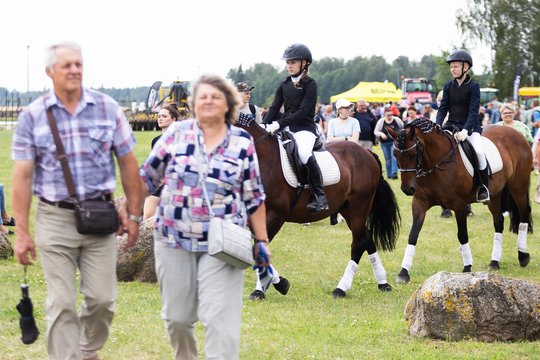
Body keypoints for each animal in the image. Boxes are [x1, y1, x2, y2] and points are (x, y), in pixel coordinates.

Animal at [236, 117, 400, 298]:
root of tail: (366, 152)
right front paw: (267, 287)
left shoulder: (275, 215)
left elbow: (259, 250)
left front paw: (277, 286)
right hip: (347, 209)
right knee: (367, 238)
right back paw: (383, 283)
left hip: (359, 207)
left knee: (359, 242)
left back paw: (341, 288)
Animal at [388, 118, 532, 284]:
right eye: (395, 154)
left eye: (412, 154)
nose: (407, 189)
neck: (436, 164)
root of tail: (517, 133)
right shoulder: (419, 203)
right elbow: (413, 235)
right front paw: (403, 272)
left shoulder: (460, 205)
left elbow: (462, 234)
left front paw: (467, 267)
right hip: (495, 196)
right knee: (498, 221)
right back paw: (494, 262)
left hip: (518, 187)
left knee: (523, 215)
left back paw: (523, 257)